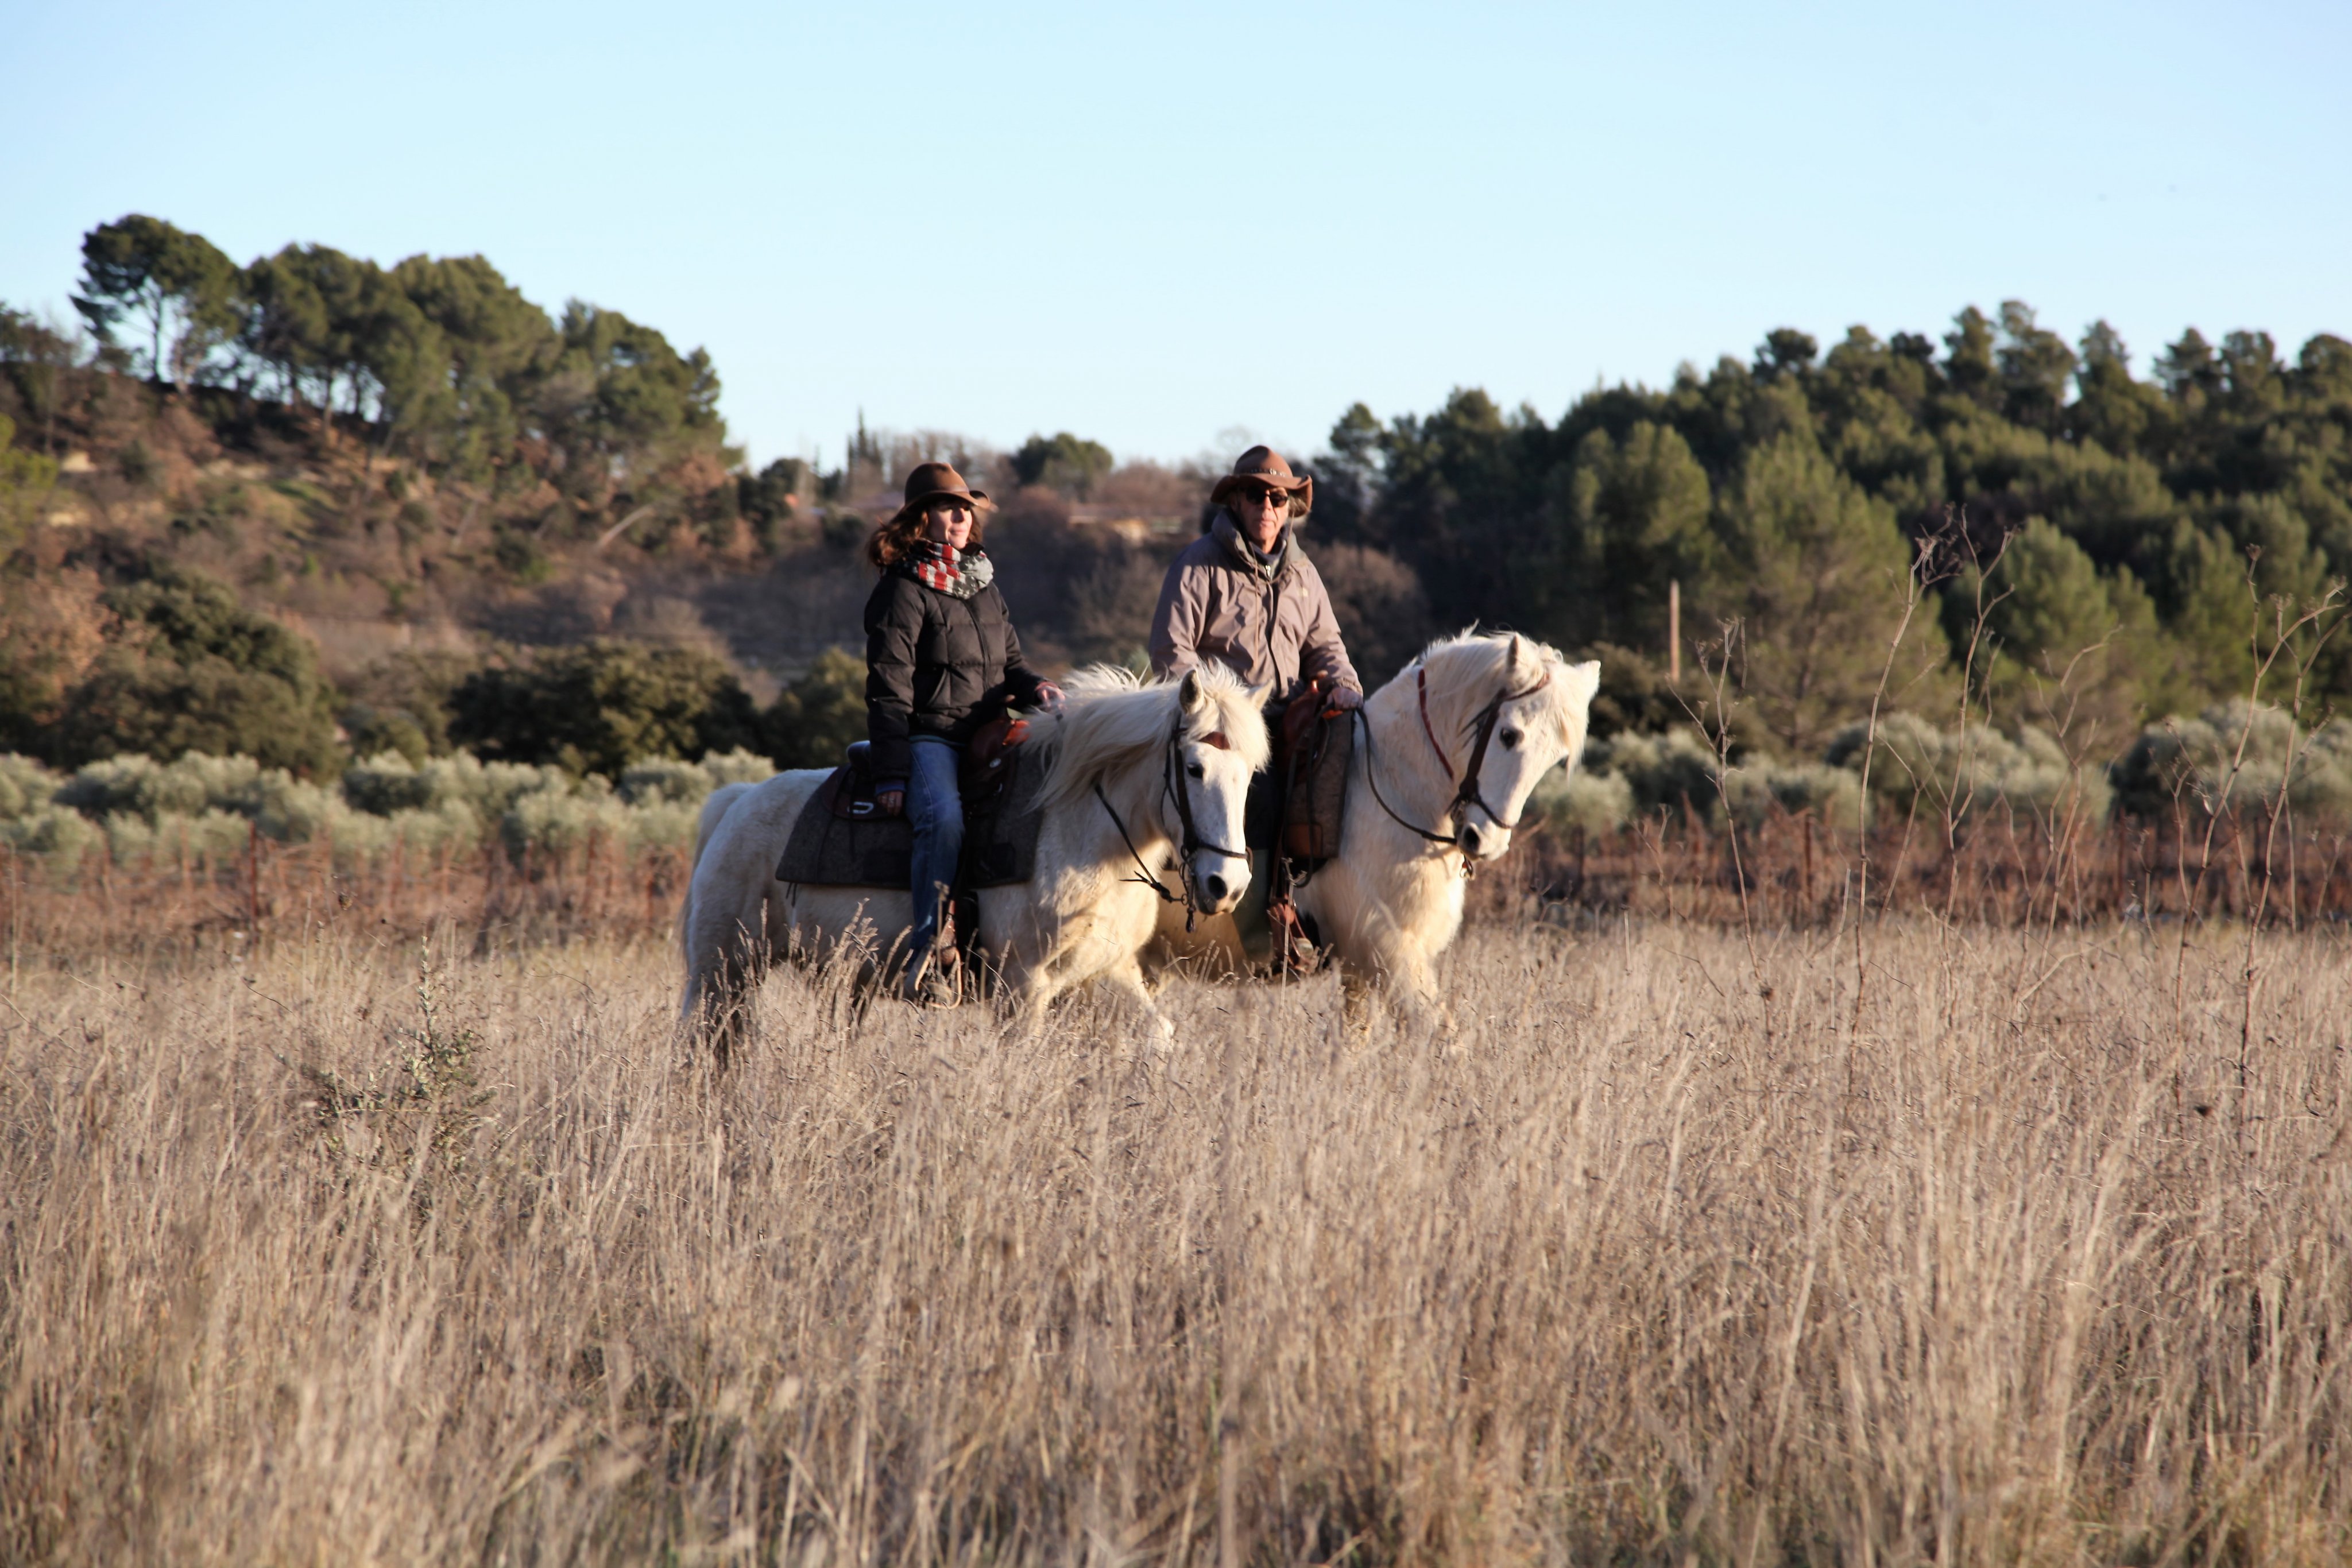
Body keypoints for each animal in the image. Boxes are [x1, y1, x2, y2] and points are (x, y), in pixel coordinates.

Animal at [678, 664, 1269, 1055]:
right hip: (722, 969)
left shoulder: (1106, 972)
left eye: (1250, 774)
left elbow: (1157, 1035)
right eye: (1194, 767)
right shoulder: (1023, 987)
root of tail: (736, 801)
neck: (1083, 831)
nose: (1227, 885)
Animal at [1153, 630, 1600, 1022]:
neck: (1392, 786)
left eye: (1554, 757)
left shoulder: (1361, 968)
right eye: (1509, 735)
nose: (1485, 840)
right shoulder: (1389, 953)